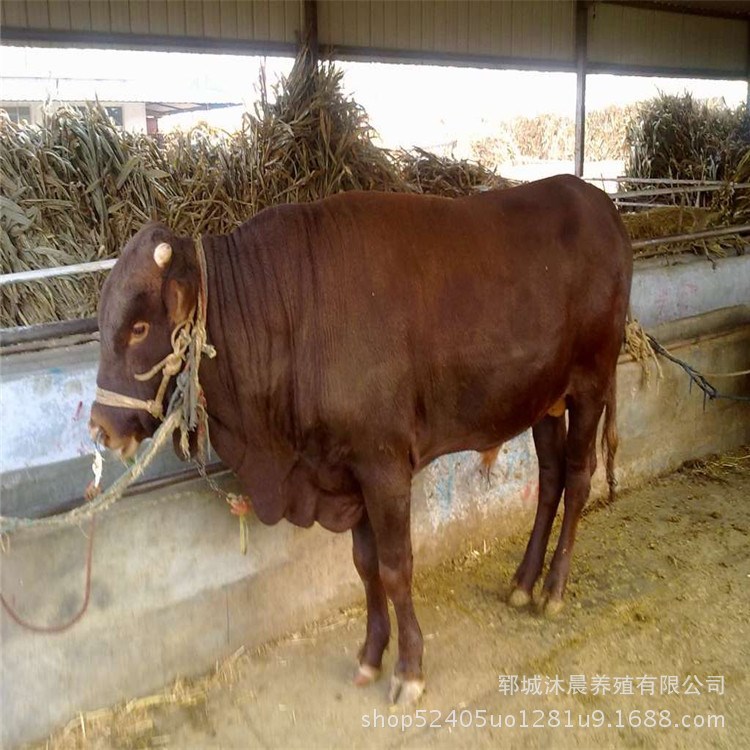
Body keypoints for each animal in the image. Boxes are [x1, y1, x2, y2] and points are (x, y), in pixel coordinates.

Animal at [91, 175, 636, 704]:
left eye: (139, 327)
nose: (100, 426)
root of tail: (597, 201)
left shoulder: (384, 466)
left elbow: (395, 568)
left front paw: (410, 669)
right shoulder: (346, 469)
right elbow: (365, 565)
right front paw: (372, 654)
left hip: (590, 382)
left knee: (578, 479)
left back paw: (554, 589)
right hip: (544, 399)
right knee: (550, 480)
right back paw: (523, 582)